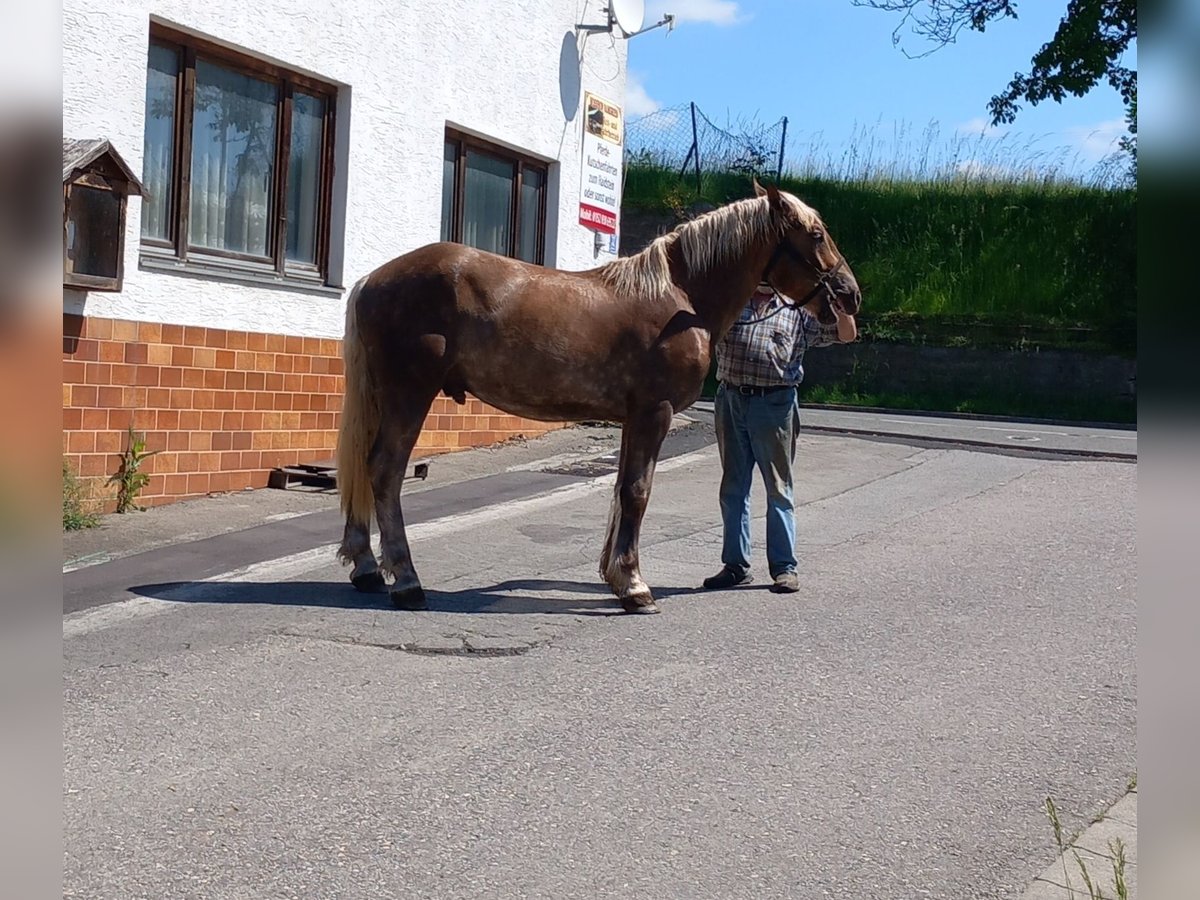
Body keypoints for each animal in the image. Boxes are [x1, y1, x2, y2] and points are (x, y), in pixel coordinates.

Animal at [338, 184, 864, 619]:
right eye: (816, 234)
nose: (851, 295)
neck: (680, 298)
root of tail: (371, 279)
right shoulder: (654, 411)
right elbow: (637, 492)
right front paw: (634, 588)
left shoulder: (634, 416)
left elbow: (621, 490)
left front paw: (615, 577)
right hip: (409, 394)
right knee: (385, 470)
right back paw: (406, 582)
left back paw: (366, 567)